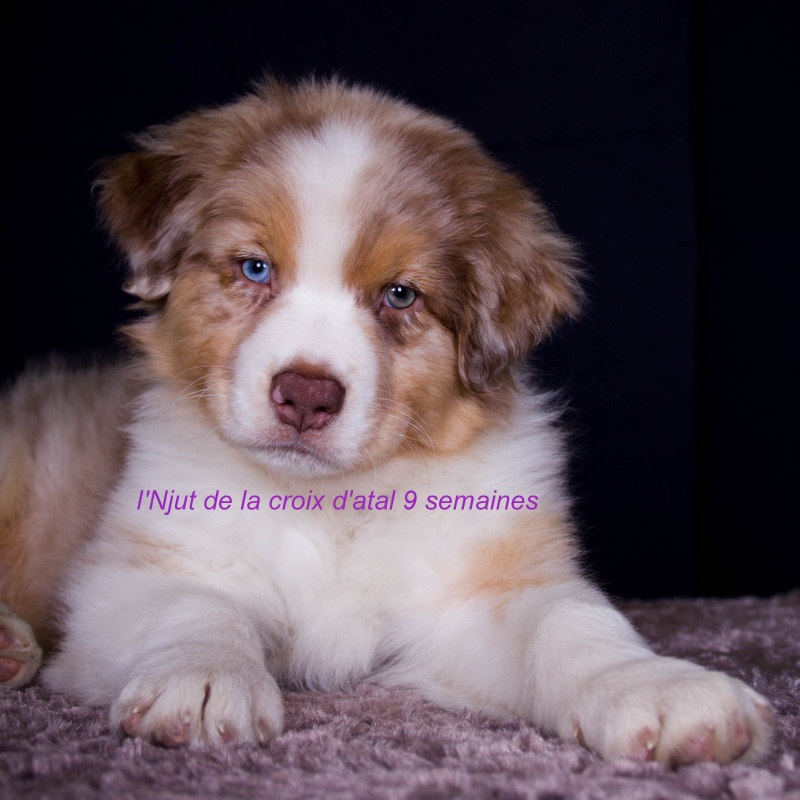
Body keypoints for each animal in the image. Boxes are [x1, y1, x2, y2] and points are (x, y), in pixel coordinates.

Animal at [0, 77, 773, 764]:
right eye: (254, 269)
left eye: (400, 295)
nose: (306, 395)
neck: (330, 505)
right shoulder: (132, 571)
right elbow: (197, 608)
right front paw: (203, 679)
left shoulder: (474, 592)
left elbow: (572, 622)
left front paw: (659, 687)